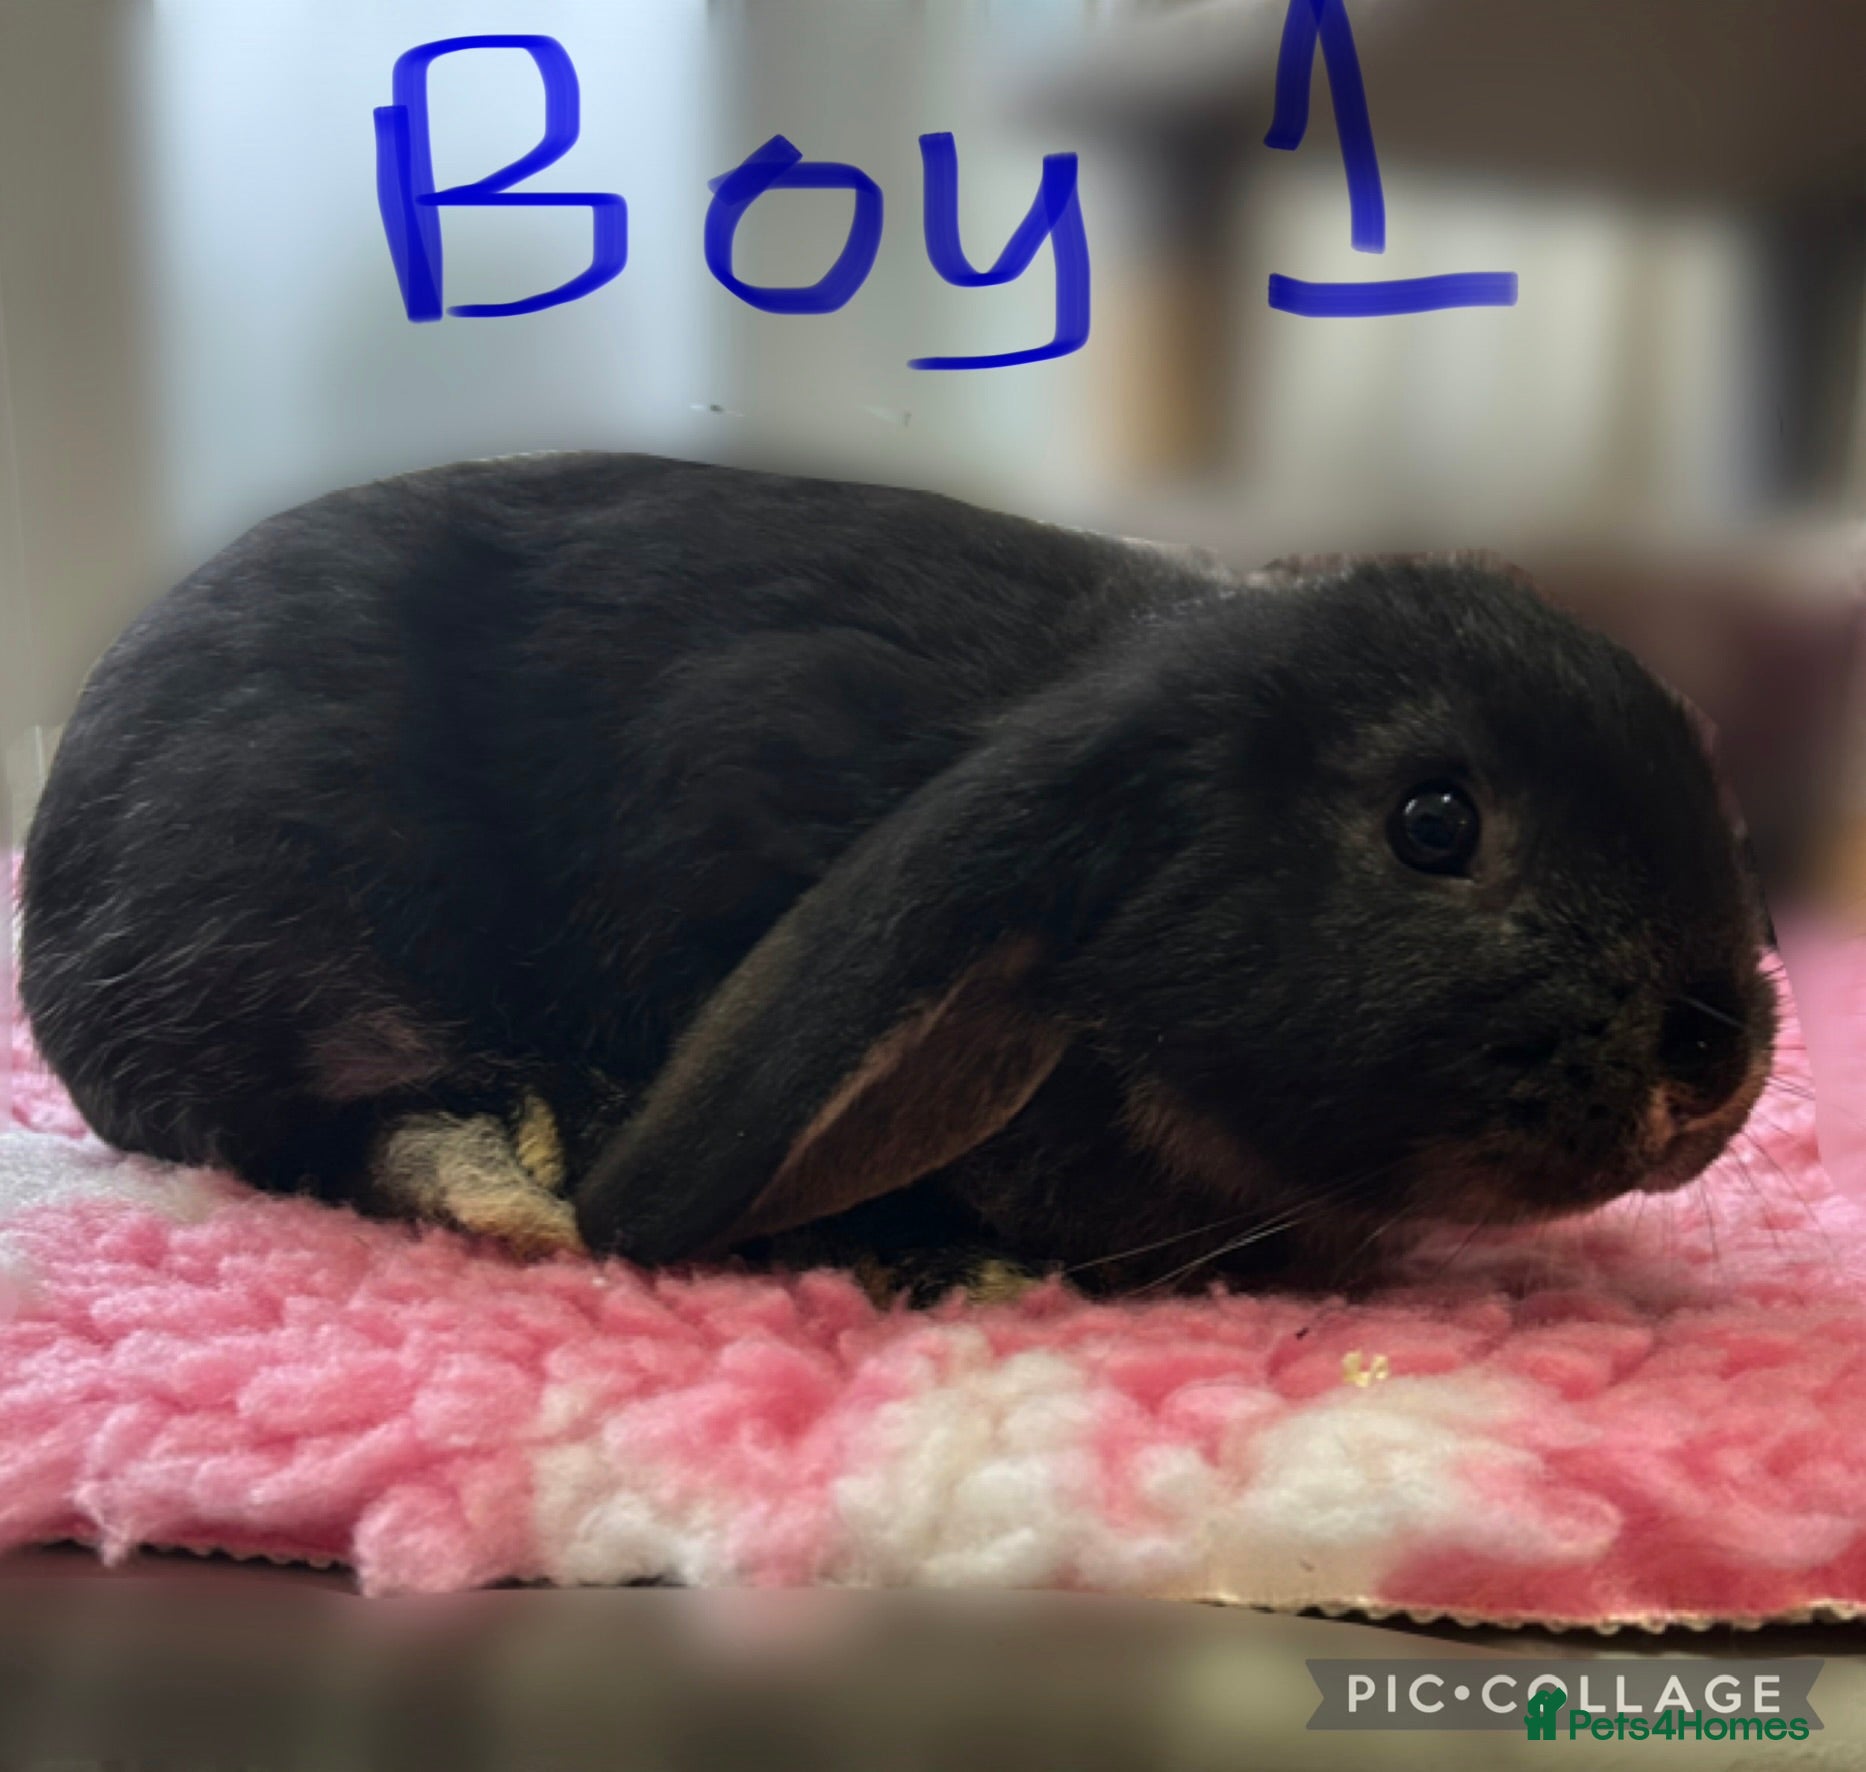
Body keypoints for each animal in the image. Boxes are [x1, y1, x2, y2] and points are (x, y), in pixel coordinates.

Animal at [19, 450, 1778, 1296]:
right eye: (1432, 821)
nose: (1717, 1056)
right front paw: (947, 1263)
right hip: (266, 917)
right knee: (305, 1124)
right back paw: (501, 1183)